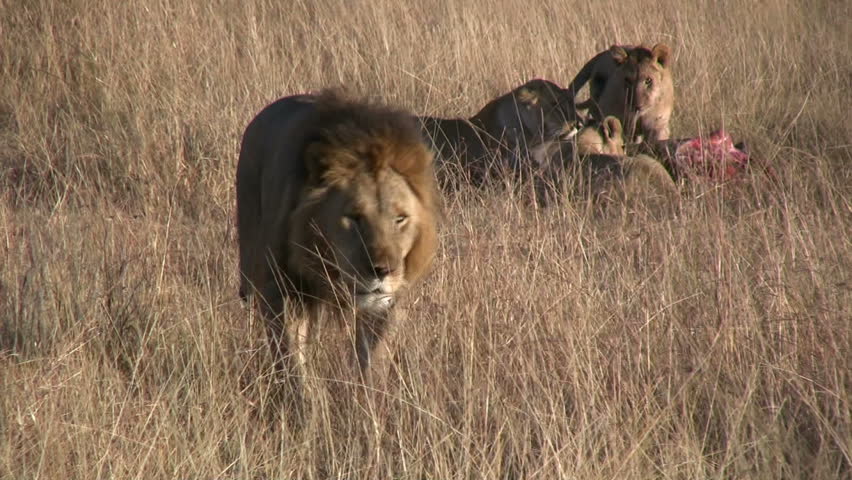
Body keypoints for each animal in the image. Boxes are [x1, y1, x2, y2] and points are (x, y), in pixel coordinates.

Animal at [236, 90, 440, 385]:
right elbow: (292, 363)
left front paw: (367, 396)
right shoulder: (282, 289)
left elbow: (372, 362)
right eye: (354, 217)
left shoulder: (387, 304)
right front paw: (304, 396)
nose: (383, 271)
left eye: (400, 218)